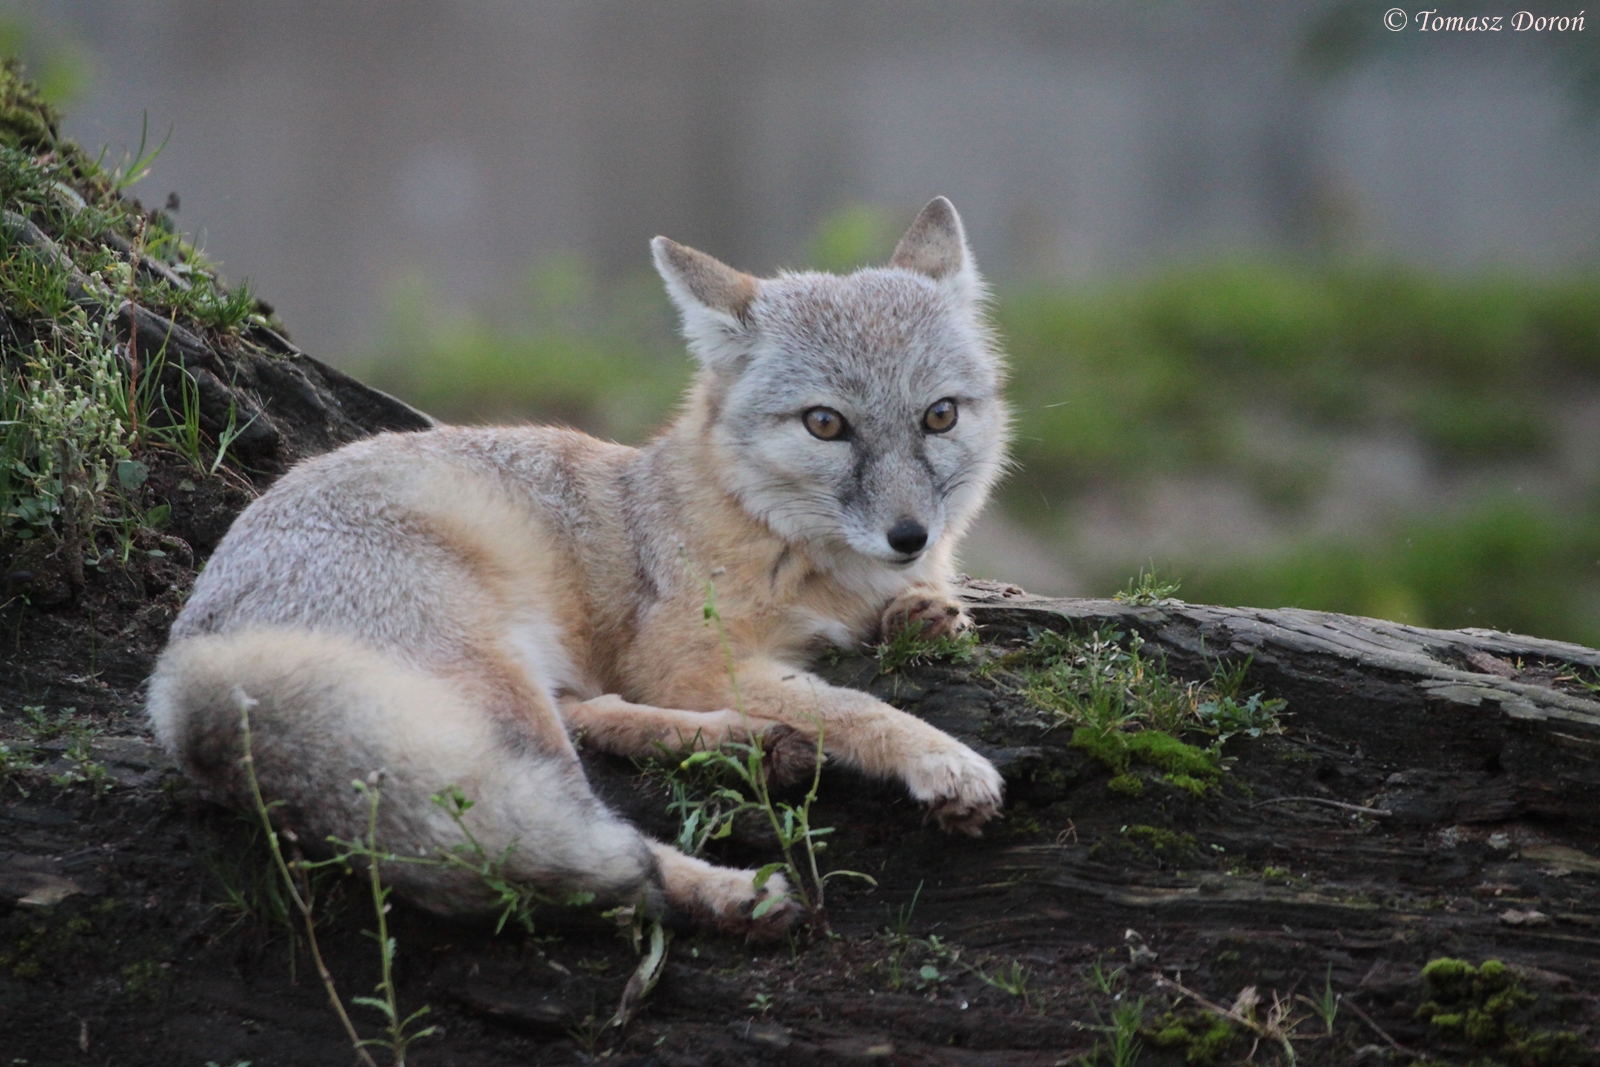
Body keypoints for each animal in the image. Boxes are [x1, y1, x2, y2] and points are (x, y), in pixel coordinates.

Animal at [147, 196, 1010, 938]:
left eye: (939, 416)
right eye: (826, 424)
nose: (910, 535)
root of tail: (185, 667)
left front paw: (925, 613)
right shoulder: (683, 657)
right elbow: (852, 706)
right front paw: (937, 755)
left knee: (586, 729)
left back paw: (752, 745)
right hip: (494, 680)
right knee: (548, 842)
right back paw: (731, 883)